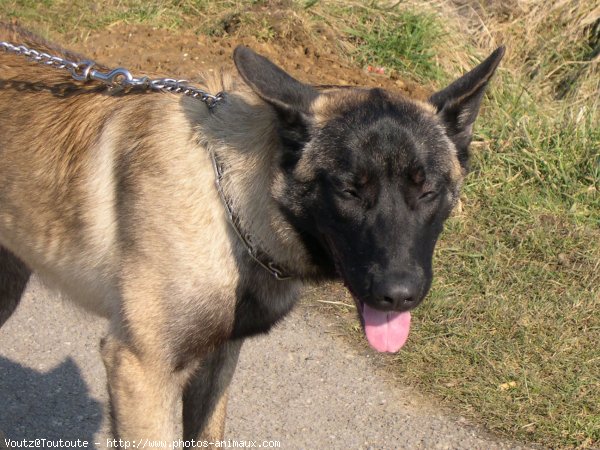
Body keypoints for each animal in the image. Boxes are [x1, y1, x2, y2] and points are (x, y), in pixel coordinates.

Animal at [0, 23, 506, 442]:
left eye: (427, 191)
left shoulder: (215, 363)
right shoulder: (142, 372)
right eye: (348, 190)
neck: (229, 199)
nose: (398, 295)